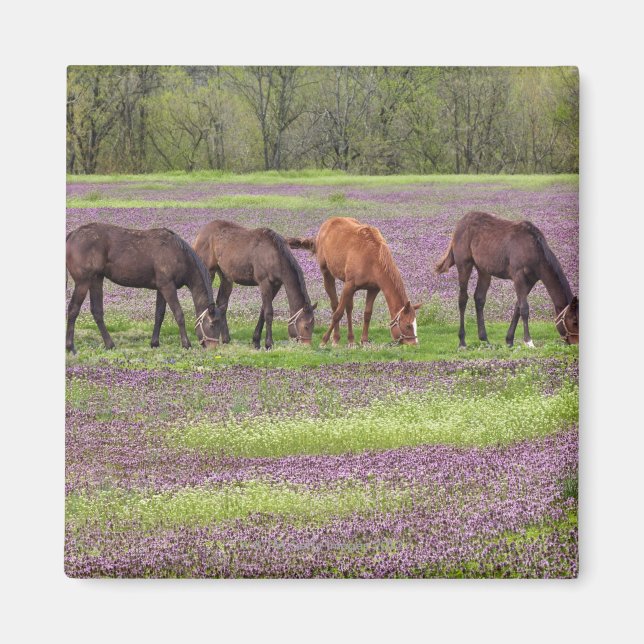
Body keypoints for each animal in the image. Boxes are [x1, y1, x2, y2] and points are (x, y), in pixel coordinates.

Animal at [66, 223, 224, 353]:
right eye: (212, 324)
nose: (213, 347)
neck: (179, 254)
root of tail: (72, 235)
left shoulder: (161, 288)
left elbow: (159, 315)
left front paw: (154, 343)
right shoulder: (168, 287)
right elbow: (179, 314)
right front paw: (186, 344)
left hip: (96, 279)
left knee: (97, 312)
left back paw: (109, 344)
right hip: (83, 282)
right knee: (73, 309)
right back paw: (70, 346)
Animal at [192, 220, 317, 350]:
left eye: (313, 326)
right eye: (306, 326)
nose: (307, 346)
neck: (275, 255)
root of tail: (201, 233)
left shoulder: (276, 285)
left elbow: (263, 311)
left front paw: (256, 341)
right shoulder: (264, 282)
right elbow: (268, 312)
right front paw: (269, 343)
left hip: (226, 277)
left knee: (222, 303)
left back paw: (225, 339)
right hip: (209, 271)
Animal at [287, 217, 421, 346]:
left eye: (415, 325)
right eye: (408, 325)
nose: (414, 344)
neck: (372, 258)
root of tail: (327, 224)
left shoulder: (373, 289)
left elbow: (367, 314)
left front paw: (364, 340)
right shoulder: (349, 285)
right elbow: (337, 314)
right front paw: (324, 340)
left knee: (349, 309)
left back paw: (350, 340)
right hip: (328, 274)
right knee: (335, 305)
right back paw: (335, 338)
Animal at [435, 211, 579, 348]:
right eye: (574, 322)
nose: (575, 344)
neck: (533, 248)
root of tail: (461, 223)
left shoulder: (530, 281)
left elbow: (517, 307)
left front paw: (509, 340)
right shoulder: (518, 277)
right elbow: (524, 308)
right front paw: (529, 342)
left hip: (484, 271)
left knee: (479, 299)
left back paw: (485, 340)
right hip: (464, 265)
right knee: (463, 299)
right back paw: (462, 342)